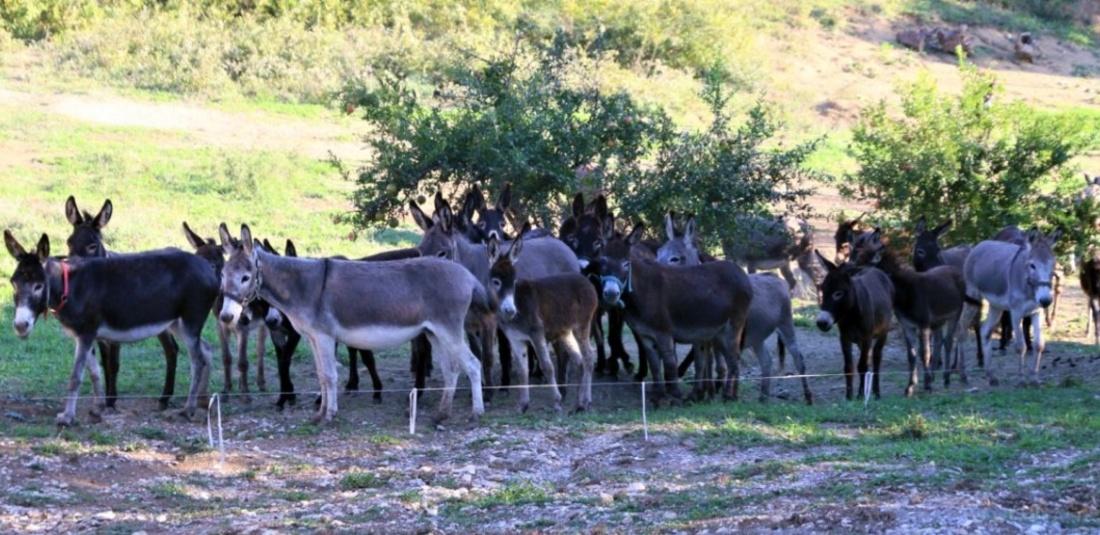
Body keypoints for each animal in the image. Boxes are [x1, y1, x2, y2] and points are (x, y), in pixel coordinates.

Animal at [486, 238, 598, 413]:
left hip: (581, 326)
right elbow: (522, 370)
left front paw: (557, 402)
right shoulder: (516, 339)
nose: (510, 310)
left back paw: (585, 402)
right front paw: (522, 405)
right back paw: (579, 403)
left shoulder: (537, 333)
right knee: (579, 361)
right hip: (566, 332)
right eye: (496, 282)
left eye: (513, 282)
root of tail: (586, 281)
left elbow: (547, 366)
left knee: (589, 357)